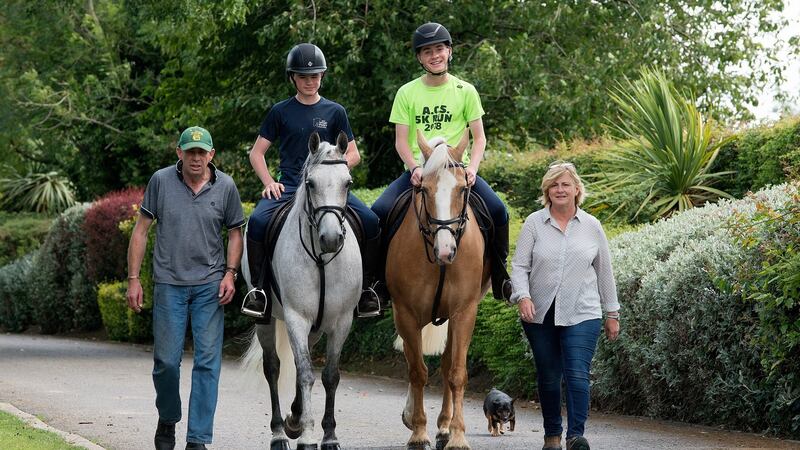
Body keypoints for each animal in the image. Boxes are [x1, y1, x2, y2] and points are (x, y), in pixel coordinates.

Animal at [241, 131, 361, 450]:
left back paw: (294, 419)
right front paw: (307, 435)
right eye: (311, 183)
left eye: (348, 183)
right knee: (274, 367)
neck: (321, 259)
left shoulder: (341, 321)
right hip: (267, 319)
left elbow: (330, 375)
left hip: (317, 327)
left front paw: (329, 436)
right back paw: (280, 432)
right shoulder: (296, 318)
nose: (331, 239)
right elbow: (306, 373)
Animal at [387, 130, 492, 450]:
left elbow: (456, 372)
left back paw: (444, 427)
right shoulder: (406, 313)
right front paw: (418, 432)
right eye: (424, 189)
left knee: (446, 365)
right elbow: (417, 371)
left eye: (462, 189)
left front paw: (457, 435)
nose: (446, 251)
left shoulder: (464, 312)